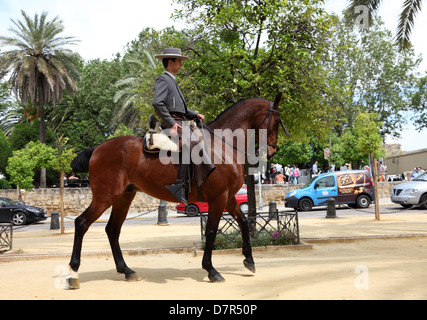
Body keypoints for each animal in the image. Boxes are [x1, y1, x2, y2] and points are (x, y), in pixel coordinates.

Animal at [66, 92, 288, 290]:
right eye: (277, 121)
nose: (272, 151)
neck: (223, 145)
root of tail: (98, 148)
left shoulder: (228, 197)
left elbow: (243, 222)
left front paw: (249, 260)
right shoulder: (218, 197)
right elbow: (211, 230)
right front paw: (211, 270)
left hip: (124, 197)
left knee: (112, 229)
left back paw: (126, 270)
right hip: (105, 197)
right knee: (82, 223)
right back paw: (72, 274)